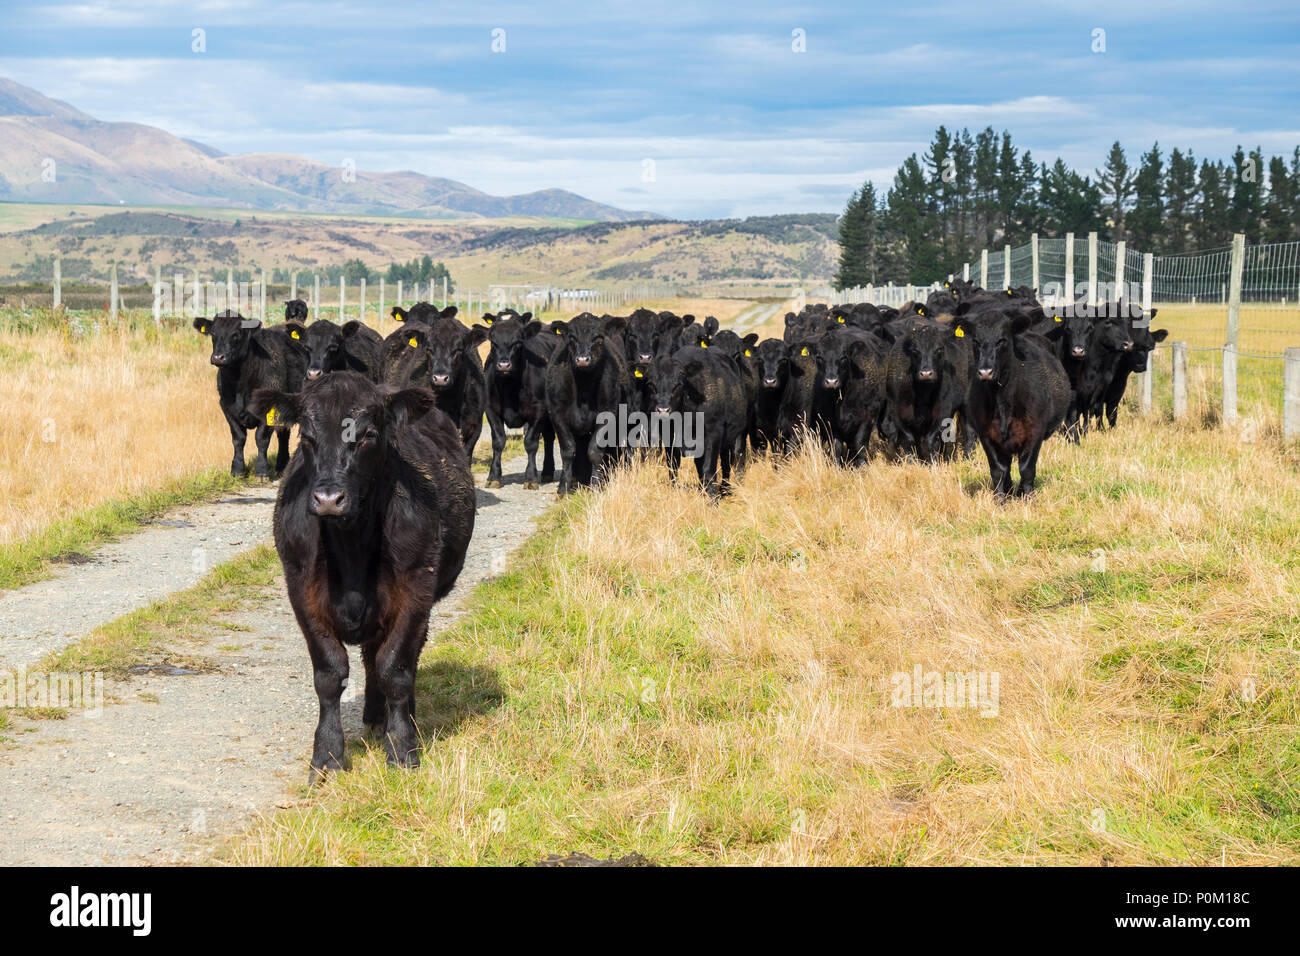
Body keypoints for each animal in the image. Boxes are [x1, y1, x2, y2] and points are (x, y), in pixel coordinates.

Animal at [193, 309, 305, 478]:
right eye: (213, 333)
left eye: (236, 334)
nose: (218, 357)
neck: (240, 385)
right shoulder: (226, 406)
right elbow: (238, 438)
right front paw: (237, 469)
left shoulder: (268, 408)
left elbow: (261, 438)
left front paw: (262, 471)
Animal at [248, 372, 475, 780]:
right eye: (307, 436)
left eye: (368, 433)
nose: (328, 499)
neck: (350, 543)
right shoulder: (301, 592)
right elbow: (329, 675)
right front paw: (327, 757)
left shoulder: (415, 592)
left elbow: (395, 669)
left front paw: (402, 750)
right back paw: (373, 715)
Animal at [479, 310, 557, 488]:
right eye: (493, 341)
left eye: (518, 342)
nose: (503, 365)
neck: (509, 387)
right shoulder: (491, 409)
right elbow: (498, 441)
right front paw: (493, 476)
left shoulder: (538, 410)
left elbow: (530, 443)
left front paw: (531, 478)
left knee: (549, 438)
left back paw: (547, 472)